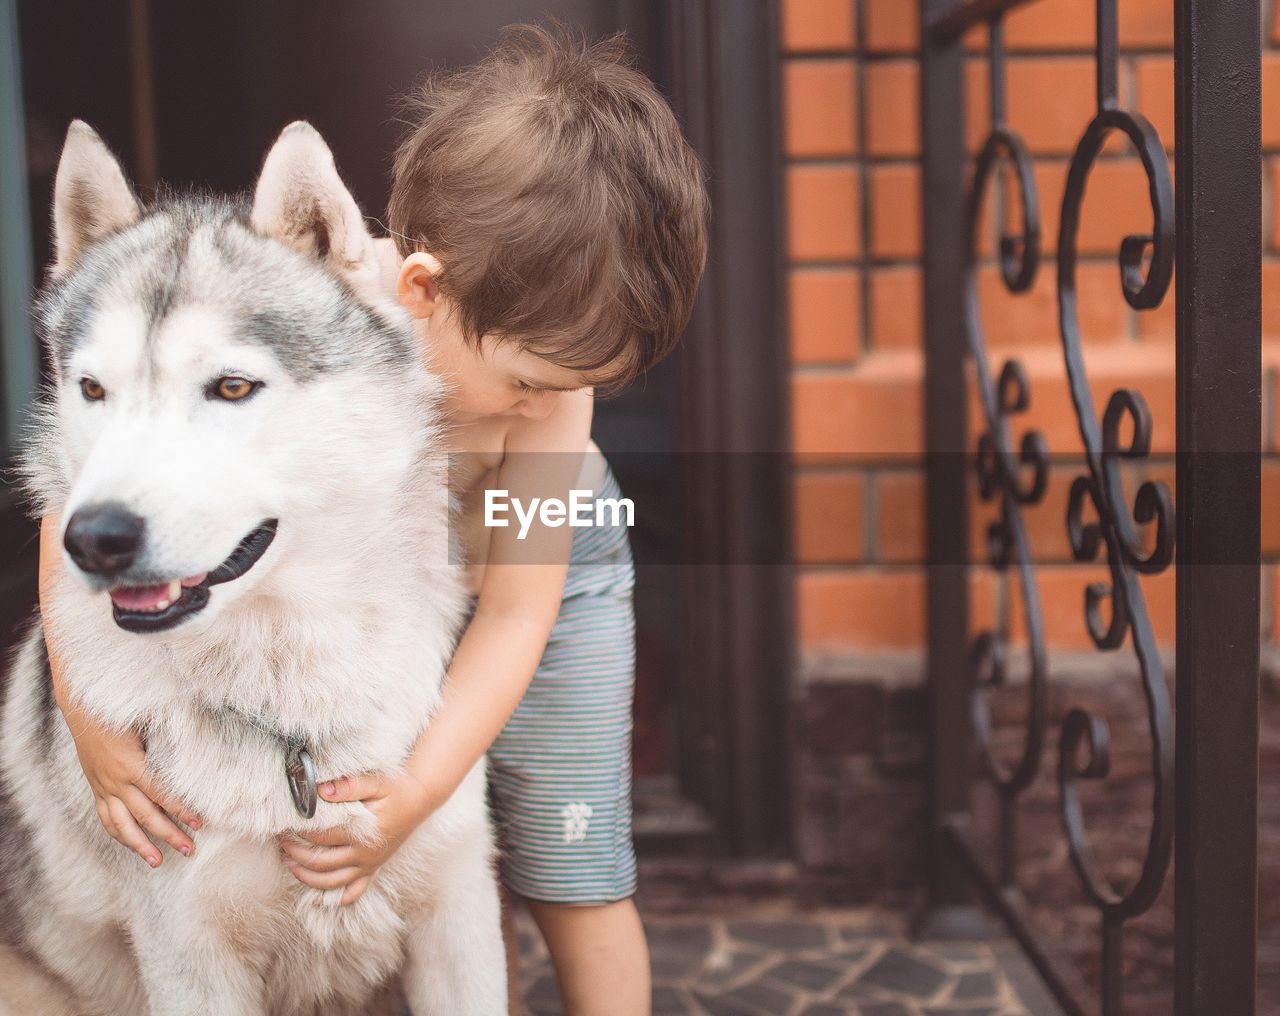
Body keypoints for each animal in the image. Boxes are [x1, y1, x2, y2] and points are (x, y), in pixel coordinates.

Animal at [0, 122, 506, 1008]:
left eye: (232, 387)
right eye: (93, 389)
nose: (93, 538)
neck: (289, 724)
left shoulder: (459, 913)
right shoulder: (190, 957)